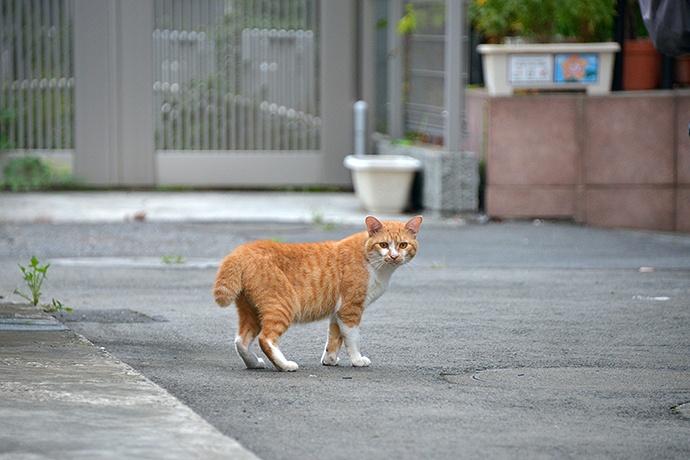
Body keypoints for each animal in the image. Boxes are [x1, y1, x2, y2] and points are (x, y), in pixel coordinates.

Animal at [212, 217, 422, 372]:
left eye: (403, 245)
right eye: (384, 244)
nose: (394, 256)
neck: (370, 259)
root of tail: (241, 251)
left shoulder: (338, 312)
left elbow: (334, 338)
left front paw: (330, 360)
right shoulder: (351, 309)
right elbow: (353, 339)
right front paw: (357, 360)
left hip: (251, 310)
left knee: (241, 341)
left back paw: (254, 363)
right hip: (283, 305)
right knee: (266, 339)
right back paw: (285, 365)